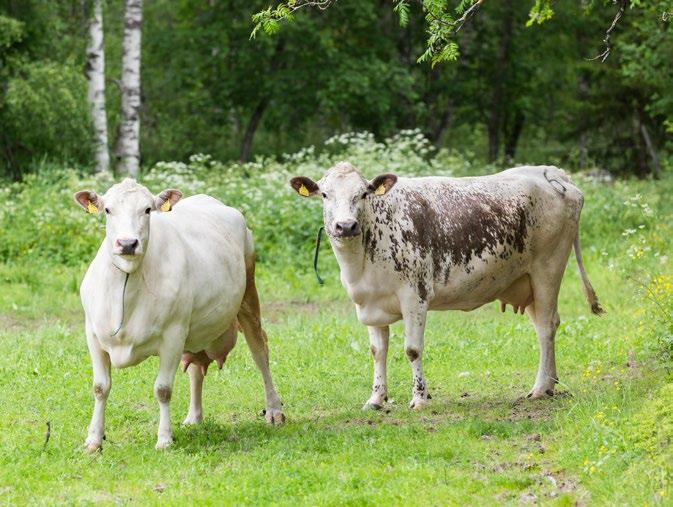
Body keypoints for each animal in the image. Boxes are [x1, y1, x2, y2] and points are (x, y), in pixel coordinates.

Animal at [74, 180, 284, 452]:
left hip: (248, 293)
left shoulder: (172, 335)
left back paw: (274, 409)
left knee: (260, 352)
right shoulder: (93, 334)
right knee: (196, 368)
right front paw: (93, 440)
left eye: (147, 210)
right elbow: (100, 387)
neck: (127, 289)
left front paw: (164, 439)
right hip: (196, 330)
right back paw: (194, 417)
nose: (127, 243)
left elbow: (163, 390)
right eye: (108, 210)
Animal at [288, 163, 604, 412]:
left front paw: (419, 398)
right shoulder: (369, 304)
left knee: (547, 327)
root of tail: (551, 172)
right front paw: (376, 399)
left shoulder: (414, 295)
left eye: (363, 193)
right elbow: (378, 352)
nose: (346, 226)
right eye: (325, 194)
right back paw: (550, 383)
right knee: (544, 325)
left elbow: (412, 350)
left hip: (548, 269)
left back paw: (539, 388)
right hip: (528, 281)